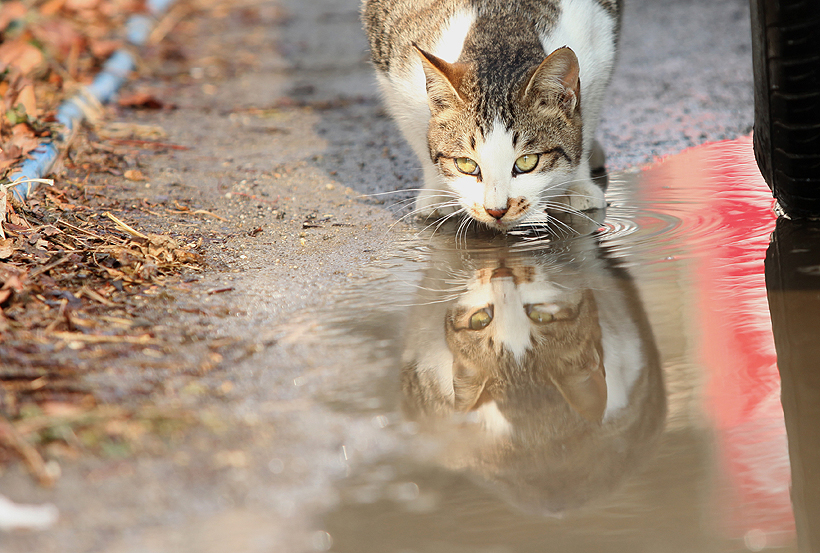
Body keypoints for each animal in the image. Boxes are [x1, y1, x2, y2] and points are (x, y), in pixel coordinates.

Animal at [362, 0, 620, 229]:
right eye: (466, 164)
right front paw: (439, 192)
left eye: (527, 162)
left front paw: (577, 185)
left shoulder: (600, 41)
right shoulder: (394, 69)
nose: (497, 210)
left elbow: (589, 114)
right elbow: (414, 130)